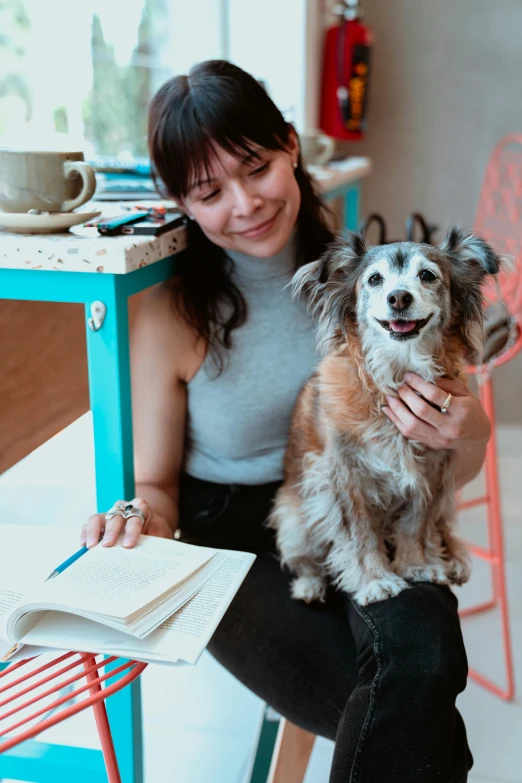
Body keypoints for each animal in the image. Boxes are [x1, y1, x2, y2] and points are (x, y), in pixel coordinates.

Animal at [268, 227, 500, 608]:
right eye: (375, 279)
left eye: (427, 275)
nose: (399, 298)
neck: (400, 370)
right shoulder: (342, 476)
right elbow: (359, 534)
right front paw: (374, 581)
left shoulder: (430, 470)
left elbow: (416, 525)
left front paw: (417, 566)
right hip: (295, 518)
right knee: (306, 558)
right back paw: (310, 585)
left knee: (440, 525)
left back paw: (451, 558)